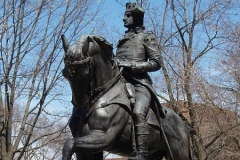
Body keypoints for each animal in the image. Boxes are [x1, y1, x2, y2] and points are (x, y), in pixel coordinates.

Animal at [61, 34, 190, 160]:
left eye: (85, 72)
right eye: (65, 74)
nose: (80, 105)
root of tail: (183, 124)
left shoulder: (104, 137)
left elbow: (69, 143)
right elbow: (71, 144)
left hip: (178, 153)